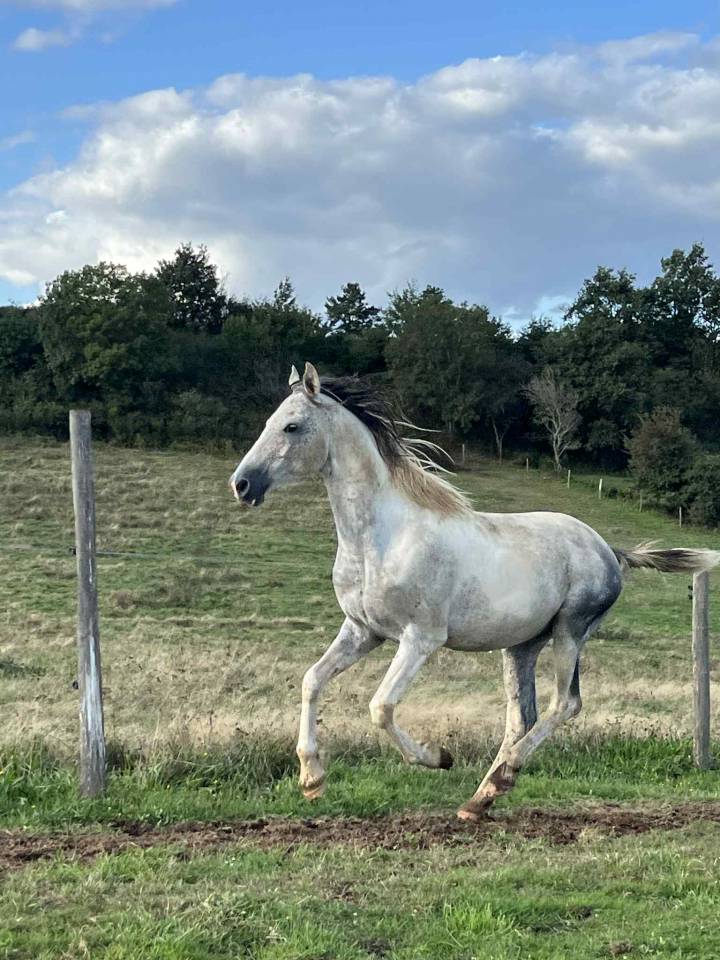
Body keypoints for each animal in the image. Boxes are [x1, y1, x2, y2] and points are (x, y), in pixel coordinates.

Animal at [230, 362, 719, 821]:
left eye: (292, 426)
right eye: (270, 421)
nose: (242, 484)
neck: (380, 539)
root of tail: (609, 550)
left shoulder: (420, 639)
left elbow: (381, 706)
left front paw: (438, 757)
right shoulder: (362, 631)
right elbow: (312, 680)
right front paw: (312, 779)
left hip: (571, 630)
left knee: (565, 704)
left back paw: (501, 777)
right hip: (521, 646)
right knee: (522, 716)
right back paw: (480, 798)